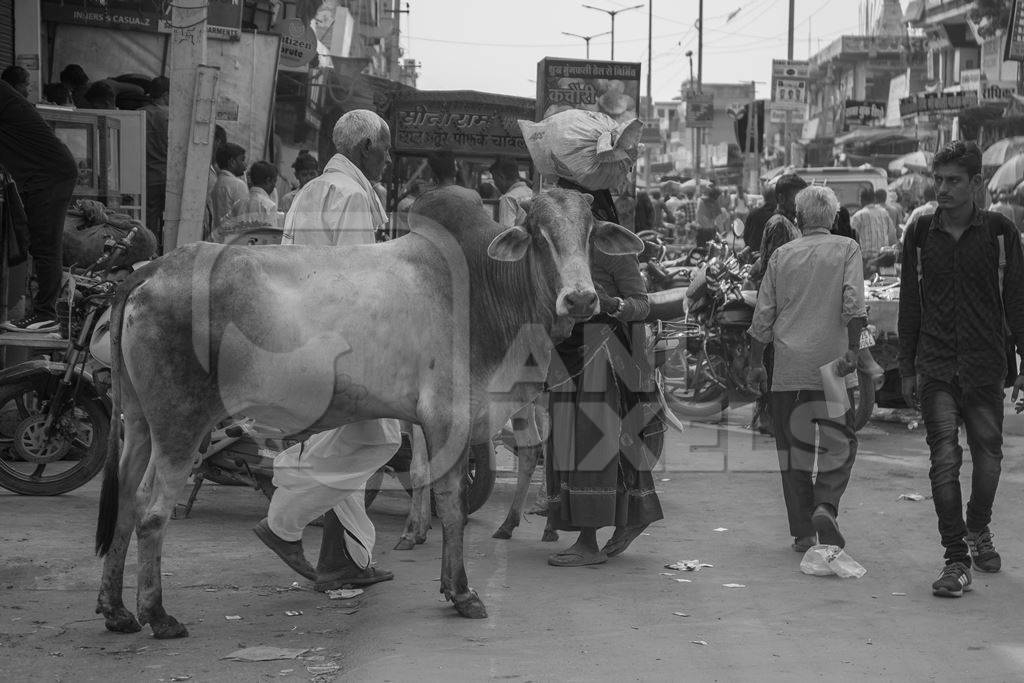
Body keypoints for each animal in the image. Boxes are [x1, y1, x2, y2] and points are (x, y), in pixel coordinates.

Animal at [94, 184, 638, 638]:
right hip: (180, 425)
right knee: (151, 511)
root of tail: (150, 271)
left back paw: (116, 609)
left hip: (140, 423)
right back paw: (158, 615)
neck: (483, 289)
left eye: (589, 233)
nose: (582, 298)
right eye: (540, 236)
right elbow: (453, 506)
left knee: (125, 500)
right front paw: (461, 593)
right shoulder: (449, 415)